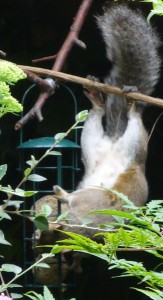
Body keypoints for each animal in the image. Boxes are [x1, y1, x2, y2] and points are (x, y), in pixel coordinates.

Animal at [52, 4, 161, 238]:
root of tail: (113, 143)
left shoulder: (93, 201)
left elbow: (73, 200)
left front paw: (63, 197)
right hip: (93, 141)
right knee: (100, 112)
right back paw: (99, 97)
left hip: (134, 142)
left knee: (131, 116)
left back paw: (128, 104)